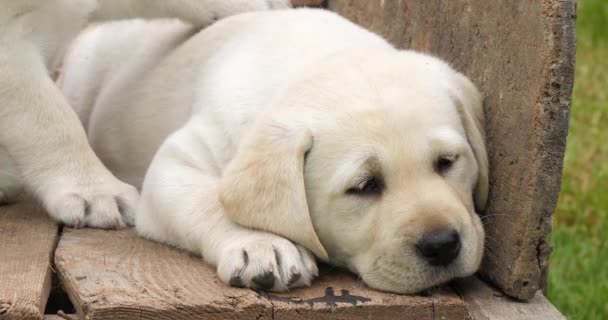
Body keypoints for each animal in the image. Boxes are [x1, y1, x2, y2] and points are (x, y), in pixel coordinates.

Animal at [59, 9, 490, 296]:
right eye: (365, 186)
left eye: (447, 162)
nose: (442, 244)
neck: (312, 60)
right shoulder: (176, 161)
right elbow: (208, 200)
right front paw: (261, 246)